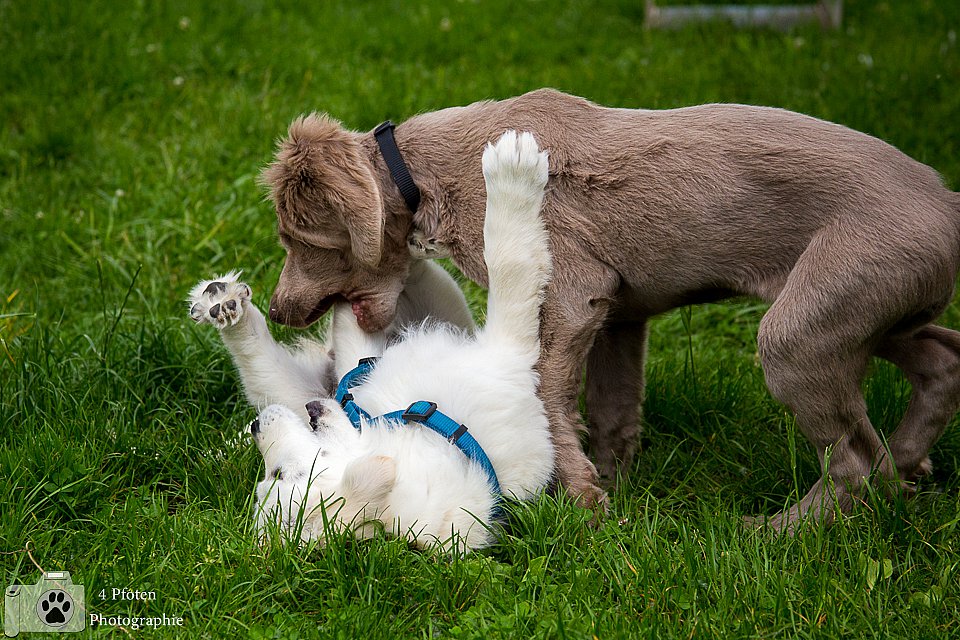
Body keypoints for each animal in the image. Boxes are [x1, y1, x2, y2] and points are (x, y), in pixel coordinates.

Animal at [189, 132, 554, 551]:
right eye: (273, 475)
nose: (257, 427)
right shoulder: (503, 349)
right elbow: (510, 260)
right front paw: (514, 173)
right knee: (263, 371)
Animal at [261, 88, 960, 531]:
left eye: (297, 238)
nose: (277, 308)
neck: (428, 175)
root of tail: (947, 202)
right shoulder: (620, 314)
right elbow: (612, 409)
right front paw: (614, 488)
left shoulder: (574, 293)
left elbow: (545, 389)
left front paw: (582, 497)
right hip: (859, 303)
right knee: (940, 360)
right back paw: (909, 469)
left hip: (808, 320)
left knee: (854, 461)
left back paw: (771, 532)